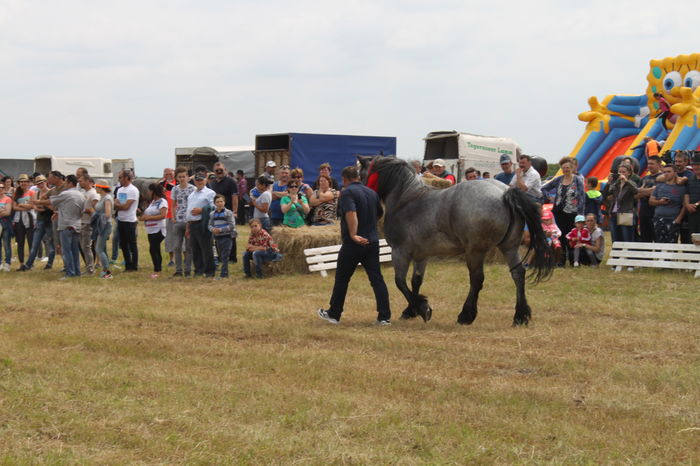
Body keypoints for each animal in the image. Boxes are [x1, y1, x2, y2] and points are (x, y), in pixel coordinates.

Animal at [358, 156, 553, 326]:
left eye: (361, 173)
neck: (406, 200)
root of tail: (504, 192)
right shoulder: (421, 255)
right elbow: (416, 281)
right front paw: (411, 310)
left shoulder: (400, 252)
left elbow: (400, 282)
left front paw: (422, 308)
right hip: (510, 247)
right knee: (518, 274)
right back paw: (520, 316)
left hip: (475, 251)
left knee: (477, 279)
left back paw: (466, 315)